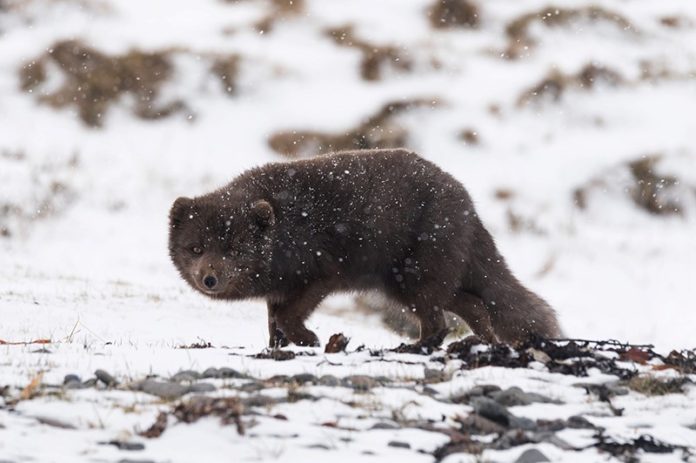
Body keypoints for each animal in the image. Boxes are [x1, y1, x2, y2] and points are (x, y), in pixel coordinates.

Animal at [171, 150, 564, 348]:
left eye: (235, 248)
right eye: (196, 248)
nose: (209, 279)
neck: (283, 226)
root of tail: (469, 205)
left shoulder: (322, 274)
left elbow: (286, 317)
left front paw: (308, 339)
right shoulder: (279, 288)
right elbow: (273, 321)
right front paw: (277, 349)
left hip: (413, 279)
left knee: (439, 320)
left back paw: (418, 347)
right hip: (412, 284)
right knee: (474, 306)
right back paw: (485, 343)